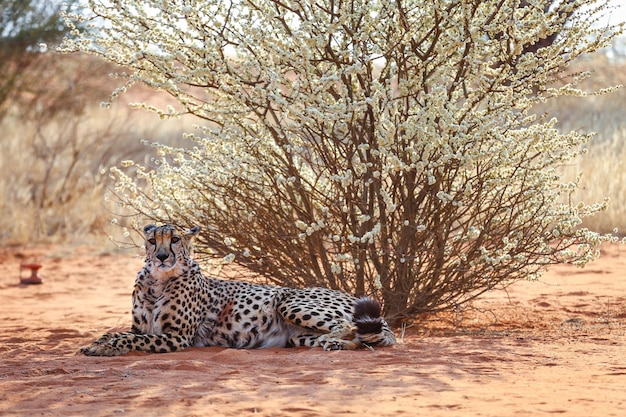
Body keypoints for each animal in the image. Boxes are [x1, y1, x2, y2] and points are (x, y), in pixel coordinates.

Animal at [79, 224, 394, 354]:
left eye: (175, 239)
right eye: (152, 240)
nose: (162, 256)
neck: (158, 280)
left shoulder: (177, 337)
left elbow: (127, 338)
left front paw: (104, 348)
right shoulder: (141, 327)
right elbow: (115, 332)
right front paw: (97, 343)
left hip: (288, 301)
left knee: (351, 327)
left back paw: (335, 341)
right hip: (298, 336)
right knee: (363, 338)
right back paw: (337, 344)